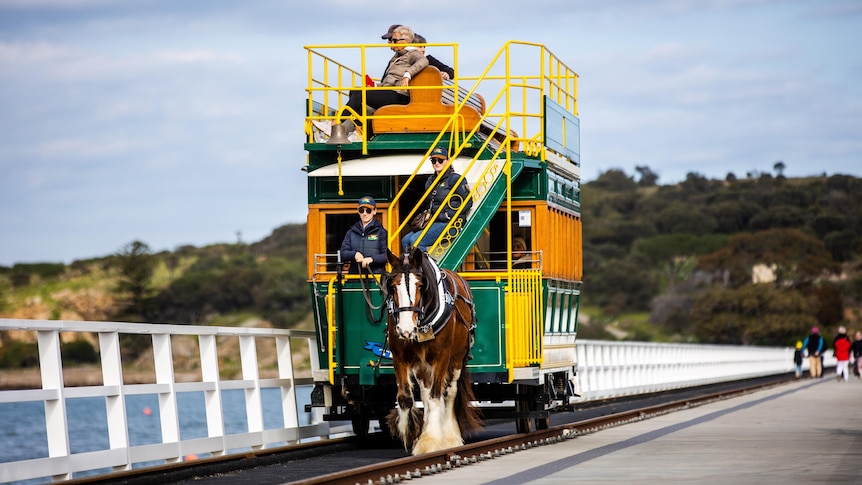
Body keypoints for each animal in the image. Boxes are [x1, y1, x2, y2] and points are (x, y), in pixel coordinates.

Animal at [382, 248, 482, 456]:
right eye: (393, 287)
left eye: (420, 285)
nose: (406, 329)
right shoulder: (400, 357)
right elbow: (405, 398)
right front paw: (411, 433)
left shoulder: (441, 357)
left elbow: (437, 396)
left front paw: (431, 441)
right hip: (422, 366)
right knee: (426, 394)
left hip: (456, 359)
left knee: (449, 392)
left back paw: (450, 437)